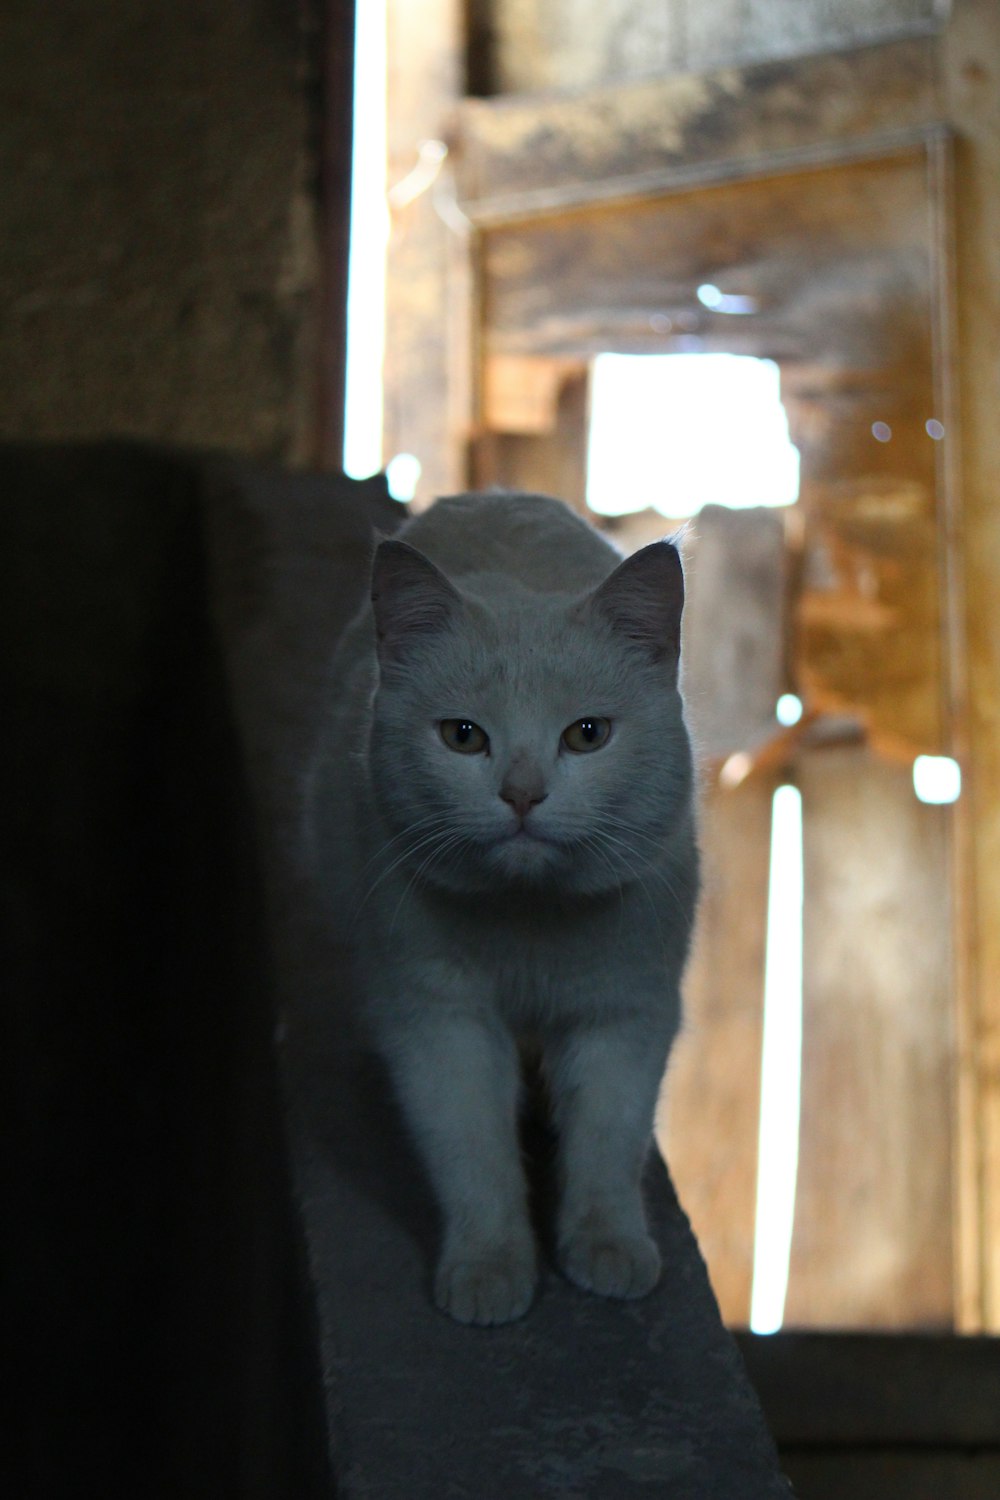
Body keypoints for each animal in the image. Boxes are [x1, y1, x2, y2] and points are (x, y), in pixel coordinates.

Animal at [310, 492, 695, 1326]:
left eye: (588, 734)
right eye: (463, 736)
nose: (522, 794)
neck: (529, 924)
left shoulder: (626, 1013)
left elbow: (608, 1143)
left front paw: (608, 1247)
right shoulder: (438, 1021)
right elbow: (473, 1156)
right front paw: (489, 1267)